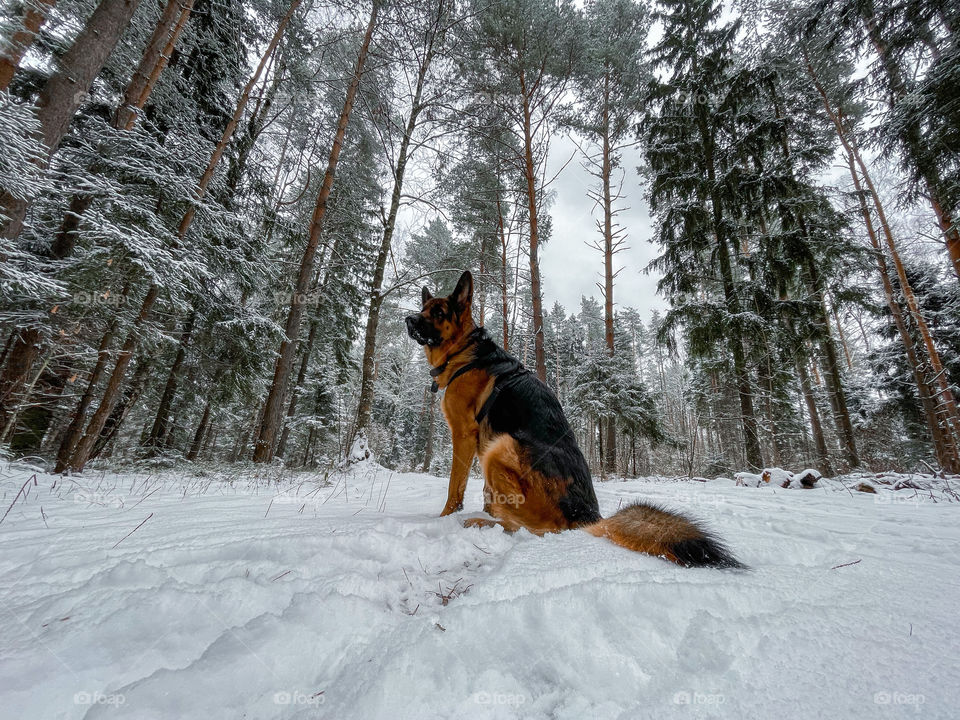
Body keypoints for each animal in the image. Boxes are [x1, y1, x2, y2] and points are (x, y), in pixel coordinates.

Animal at [404, 272, 744, 568]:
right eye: (422, 309)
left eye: (438, 311)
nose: (408, 320)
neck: (464, 349)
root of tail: (587, 515)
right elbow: (483, 492)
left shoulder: (463, 434)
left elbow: (454, 487)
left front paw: (446, 518)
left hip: (501, 446)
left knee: (538, 529)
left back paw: (480, 523)